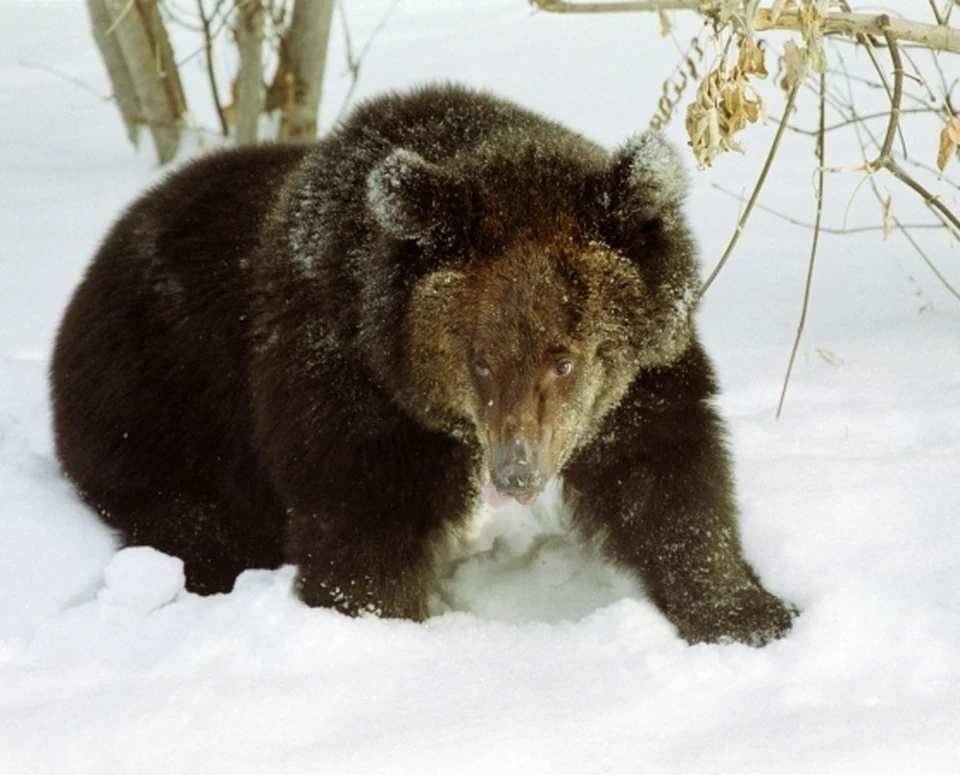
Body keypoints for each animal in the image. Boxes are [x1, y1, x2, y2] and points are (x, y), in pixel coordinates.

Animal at [50, 85, 796, 644]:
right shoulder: (352, 395)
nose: (518, 472)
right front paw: (381, 623)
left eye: (564, 358)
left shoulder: (638, 386)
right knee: (195, 524)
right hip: (154, 416)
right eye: (480, 360)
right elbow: (365, 533)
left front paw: (745, 612)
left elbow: (668, 483)